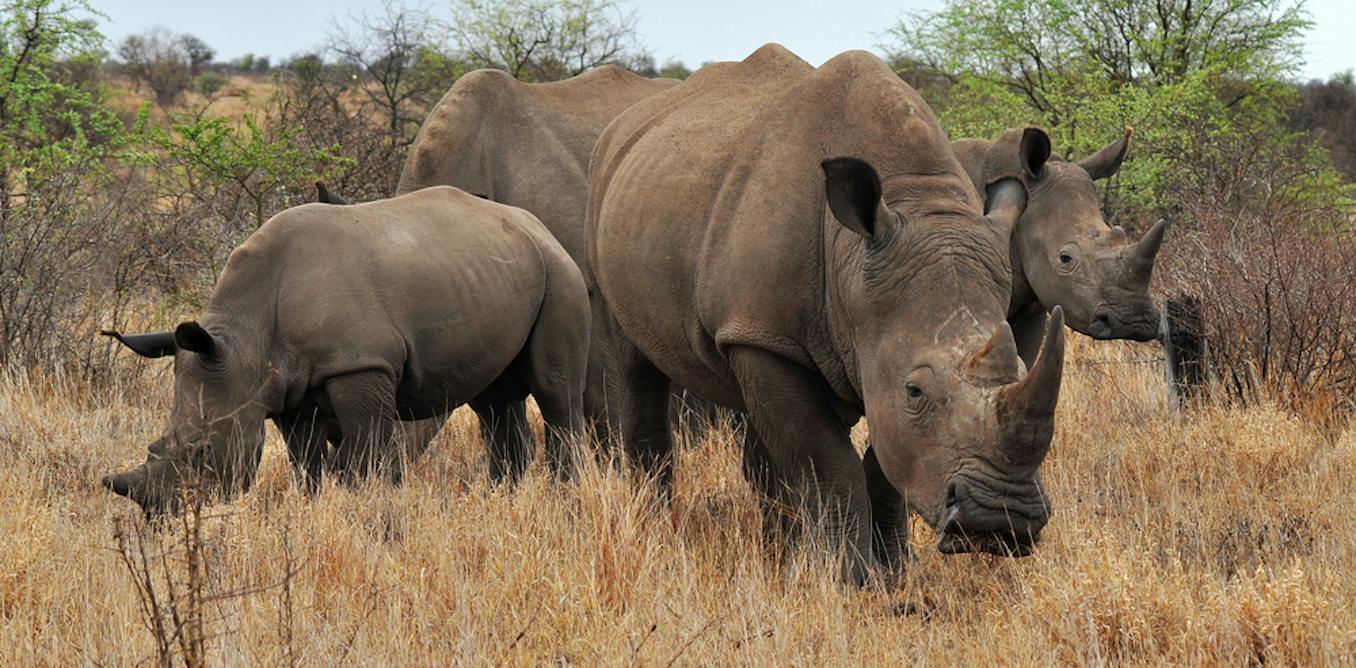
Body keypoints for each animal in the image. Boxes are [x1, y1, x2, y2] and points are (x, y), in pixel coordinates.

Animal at [100, 186, 590, 515]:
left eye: (203, 448)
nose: (159, 513)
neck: (244, 340)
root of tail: (534, 223)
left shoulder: (360, 366)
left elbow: (361, 455)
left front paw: (367, 506)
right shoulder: (287, 389)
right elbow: (305, 464)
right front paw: (312, 509)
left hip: (560, 273)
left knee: (555, 392)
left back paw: (564, 500)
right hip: (494, 271)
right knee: (492, 399)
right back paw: (498, 502)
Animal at [587, 44, 1067, 582]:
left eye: (1021, 368)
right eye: (916, 390)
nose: (1003, 521)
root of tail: (624, 126)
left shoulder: (841, 338)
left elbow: (885, 460)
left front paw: (893, 572)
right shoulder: (769, 338)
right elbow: (826, 462)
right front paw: (849, 579)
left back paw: (778, 552)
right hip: (610, 204)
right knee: (633, 361)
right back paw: (658, 533)